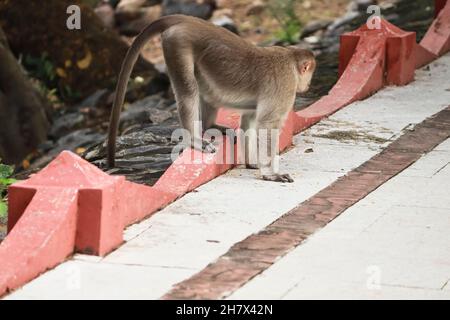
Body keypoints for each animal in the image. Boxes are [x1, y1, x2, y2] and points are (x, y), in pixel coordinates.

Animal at [107, 15, 314, 184]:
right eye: (309, 73)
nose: (308, 85)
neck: (289, 59)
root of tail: (188, 20)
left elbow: (249, 121)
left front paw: (251, 163)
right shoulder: (285, 86)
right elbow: (267, 125)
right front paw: (270, 173)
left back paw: (209, 126)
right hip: (177, 43)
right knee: (189, 89)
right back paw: (194, 139)